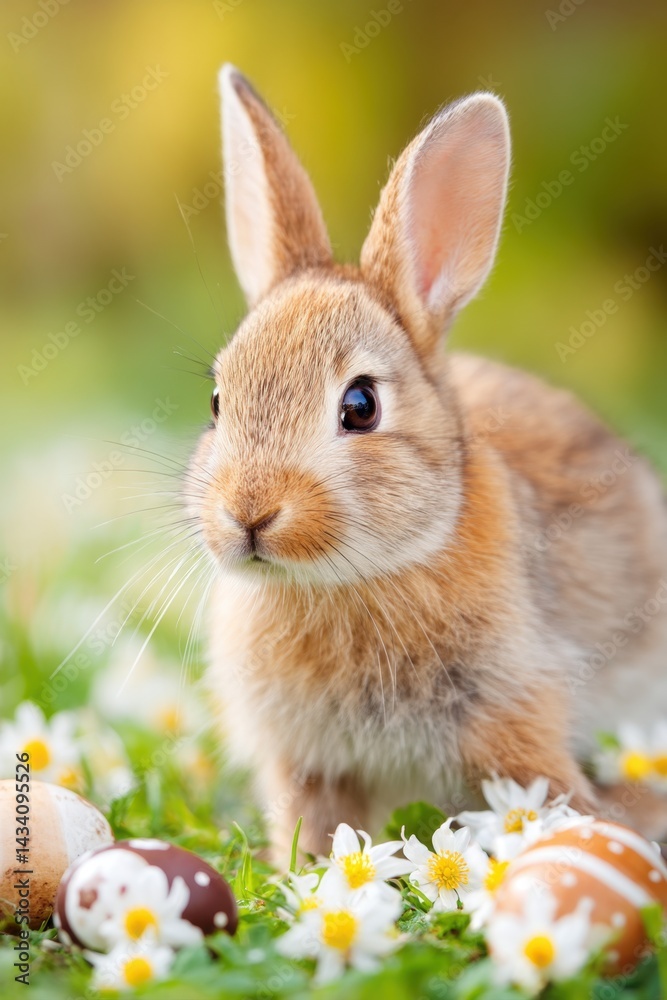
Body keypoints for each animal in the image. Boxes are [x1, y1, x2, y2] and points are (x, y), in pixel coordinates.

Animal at [186, 64, 667, 863]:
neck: (349, 578)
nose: (248, 513)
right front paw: (303, 873)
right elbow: (315, 831)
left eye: (360, 406)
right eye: (219, 401)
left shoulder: (516, 717)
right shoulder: (310, 766)